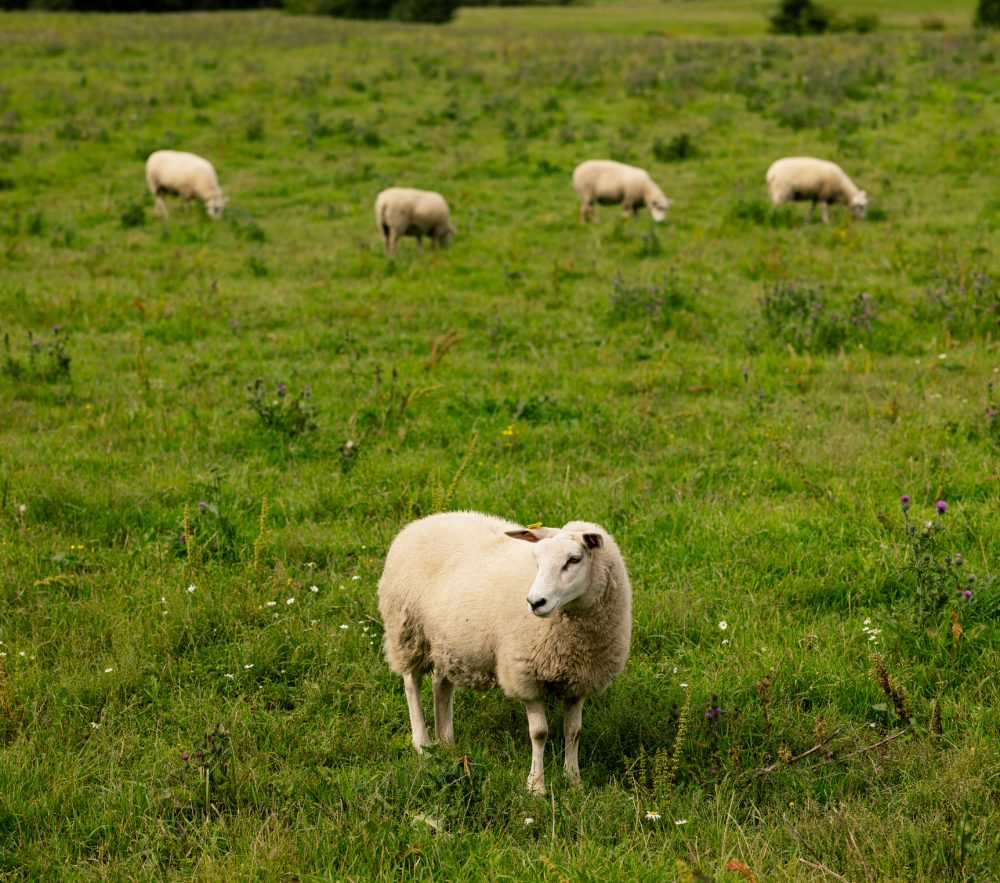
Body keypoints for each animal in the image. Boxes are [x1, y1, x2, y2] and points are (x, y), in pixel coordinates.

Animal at [378, 510, 632, 796]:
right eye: (536, 560)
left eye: (574, 559)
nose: (535, 602)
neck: (573, 637)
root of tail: (423, 521)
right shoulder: (525, 676)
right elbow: (539, 733)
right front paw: (536, 787)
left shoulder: (580, 682)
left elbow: (573, 731)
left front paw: (574, 781)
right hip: (407, 631)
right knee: (412, 683)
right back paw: (423, 745)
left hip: (446, 642)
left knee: (440, 684)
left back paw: (447, 743)